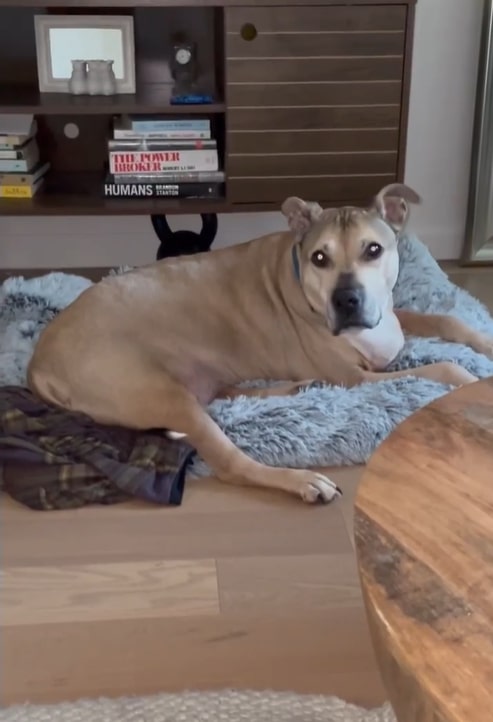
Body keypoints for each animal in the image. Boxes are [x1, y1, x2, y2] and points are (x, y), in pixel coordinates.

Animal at [27, 184, 492, 500]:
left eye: (374, 250)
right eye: (319, 258)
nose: (347, 300)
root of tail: (38, 364)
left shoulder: (393, 317)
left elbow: (447, 319)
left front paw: (483, 341)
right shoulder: (355, 377)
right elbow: (445, 366)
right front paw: (472, 380)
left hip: (196, 380)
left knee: (228, 397)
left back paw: (296, 390)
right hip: (163, 394)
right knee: (231, 461)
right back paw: (302, 480)